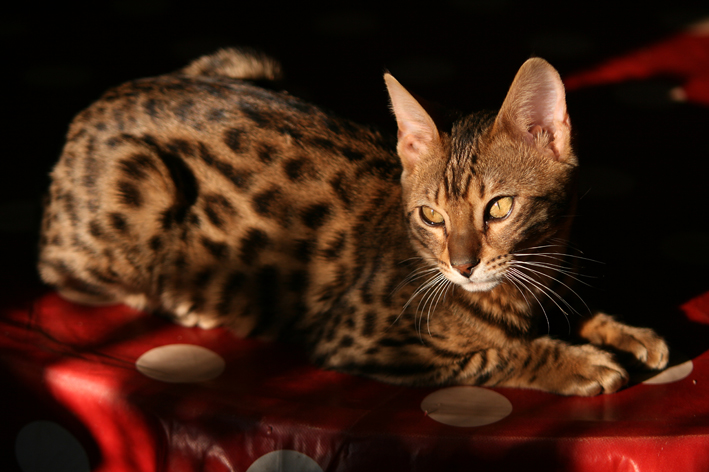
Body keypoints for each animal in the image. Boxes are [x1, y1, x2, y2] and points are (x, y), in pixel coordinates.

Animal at [37, 48, 668, 394]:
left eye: (500, 208)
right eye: (431, 216)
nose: (463, 266)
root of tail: (92, 107)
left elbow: (570, 306)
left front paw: (624, 330)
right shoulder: (357, 340)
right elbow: (493, 353)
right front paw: (574, 362)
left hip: (246, 60)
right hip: (142, 189)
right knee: (64, 275)